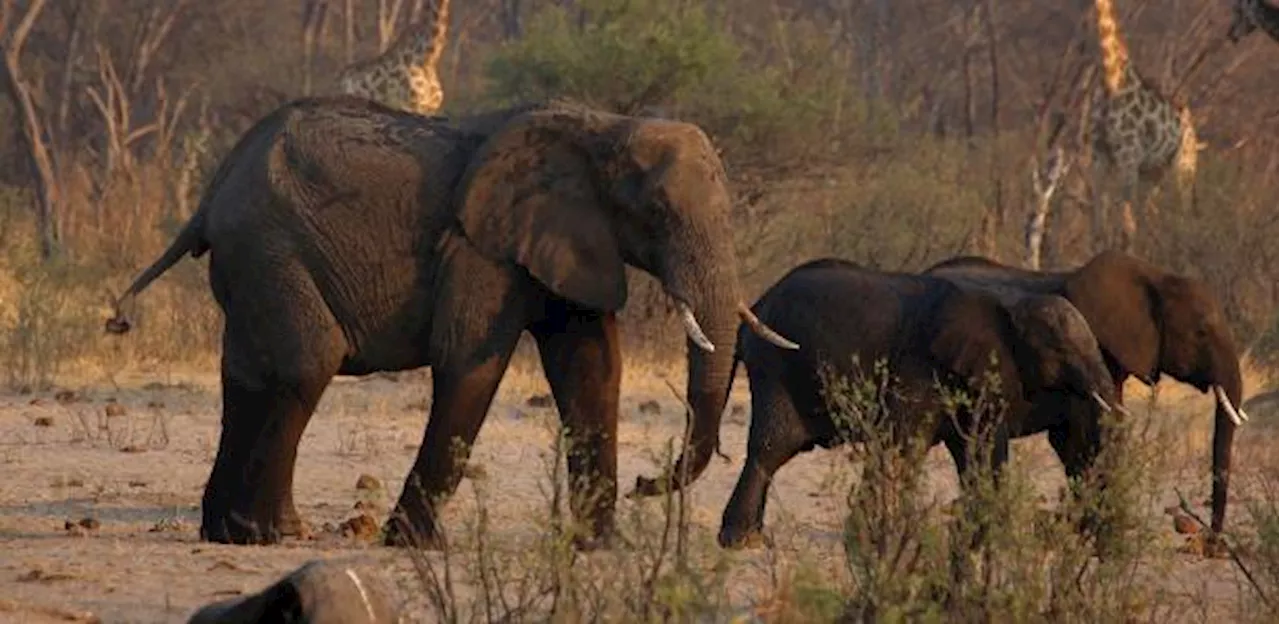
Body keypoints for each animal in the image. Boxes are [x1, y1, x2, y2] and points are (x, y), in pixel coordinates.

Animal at [104, 95, 793, 547]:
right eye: (656, 212)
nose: (649, 483)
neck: (605, 125)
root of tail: (210, 194)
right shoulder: (480, 246)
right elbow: (471, 364)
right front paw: (411, 546)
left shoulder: (568, 241)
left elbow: (593, 372)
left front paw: (600, 549)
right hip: (269, 247)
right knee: (305, 363)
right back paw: (273, 535)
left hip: (252, 260)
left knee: (248, 374)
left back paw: (224, 533)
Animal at [721, 255, 1121, 547]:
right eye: (1062, 352)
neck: (1007, 304)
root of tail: (754, 304)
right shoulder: (921, 367)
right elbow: (903, 445)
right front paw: (873, 539)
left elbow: (978, 450)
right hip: (775, 365)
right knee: (771, 447)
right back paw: (741, 542)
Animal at [1085, 0, 1203, 253]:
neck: (1111, 79)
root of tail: (1192, 128)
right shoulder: (1099, 156)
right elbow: (1099, 229)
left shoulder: (1128, 157)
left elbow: (1126, 229)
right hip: (1153, 173)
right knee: (1149, 212)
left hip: (1184, 167)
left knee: (1184, 218)